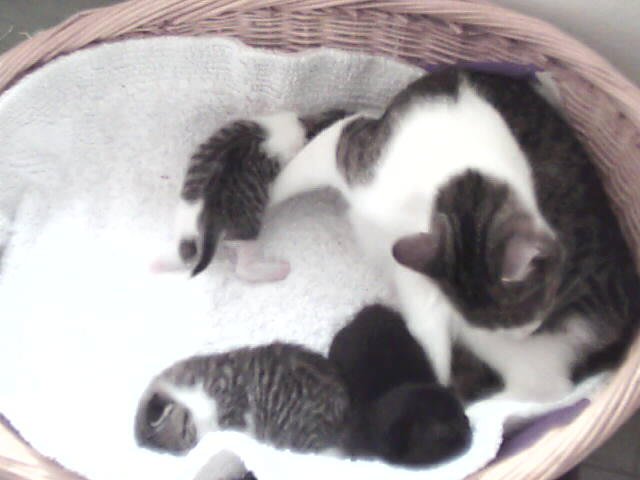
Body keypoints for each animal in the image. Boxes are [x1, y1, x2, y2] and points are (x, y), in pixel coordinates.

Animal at [152, 109, 350, 282]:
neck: (305, 126)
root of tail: (210, 211)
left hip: (186, 210)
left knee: (185, 250)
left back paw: (156, 263)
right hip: (246, 226)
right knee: (243, 267)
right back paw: (278, 270)